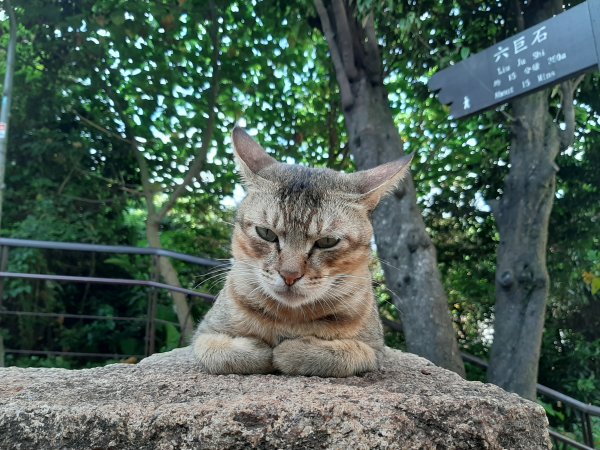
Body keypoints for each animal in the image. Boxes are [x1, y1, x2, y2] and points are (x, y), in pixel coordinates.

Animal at [192, 126, 412, 376]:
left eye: (327, 241)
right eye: (266, 233)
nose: (289, 275)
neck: (289, 318)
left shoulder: (375, 350)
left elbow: (340, 354)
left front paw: (291, 351)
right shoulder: (204, 332)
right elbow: (220, 353)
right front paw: (260, 350)